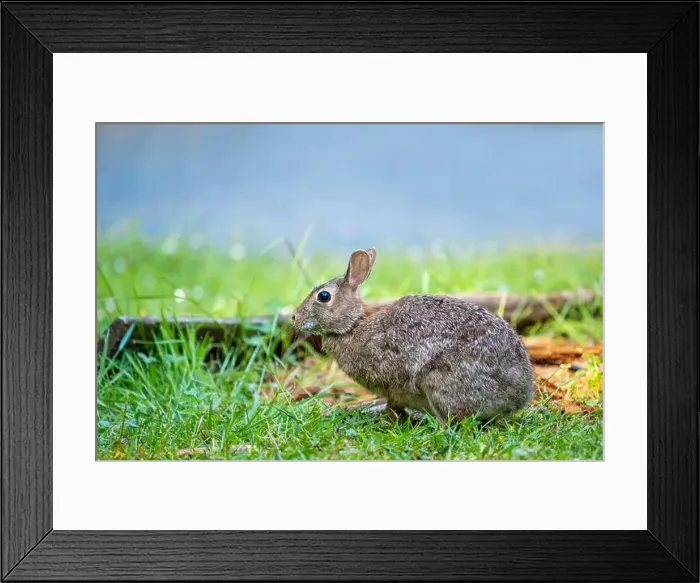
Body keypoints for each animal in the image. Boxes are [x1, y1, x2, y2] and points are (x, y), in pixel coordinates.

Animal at [292, 248, 535, 423]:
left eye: (324, 296)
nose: (295, 317)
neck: (353, 324)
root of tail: (517, 397)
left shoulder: (391, 385)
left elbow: (393, 405)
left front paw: (389, 420)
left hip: (440, 384)